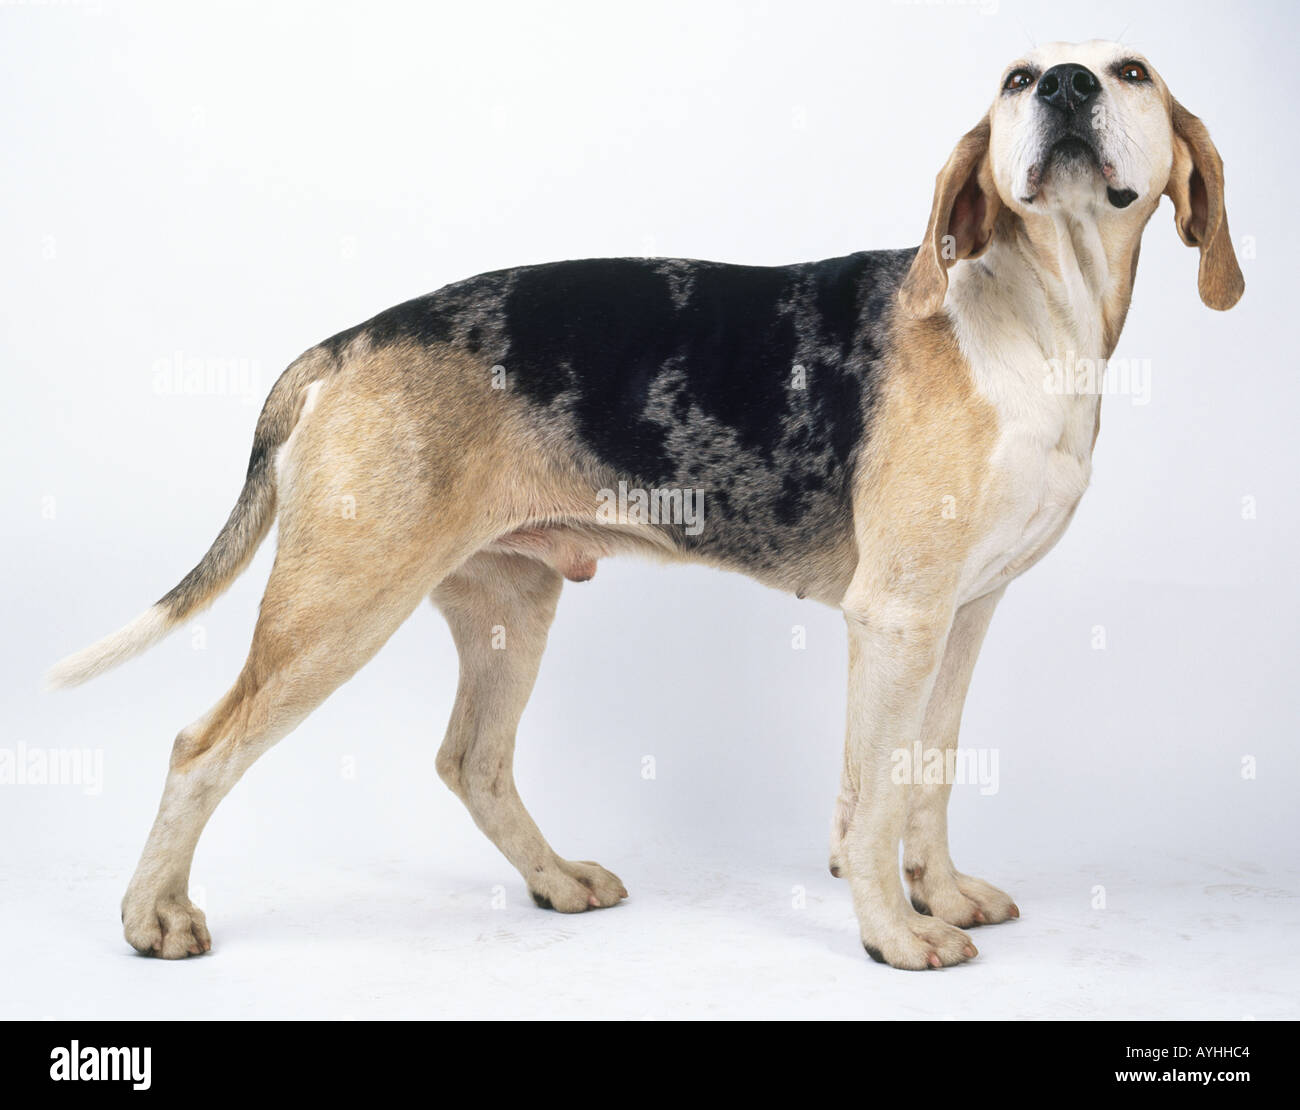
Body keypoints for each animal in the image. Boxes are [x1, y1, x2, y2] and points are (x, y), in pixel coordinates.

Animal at [50, 39, 1242, 967]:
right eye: (1016, 79)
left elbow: (927, 774)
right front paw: (893, 935)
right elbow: (873, 798)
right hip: (336, 609)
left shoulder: (961, 617)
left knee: (471, 761)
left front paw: (938, 894)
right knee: (199, 748)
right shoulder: (897, 619)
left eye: (1132, 71)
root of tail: (342, 345)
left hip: (509, 606)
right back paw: (153, 916)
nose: (1071, 86)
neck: (1037, 318)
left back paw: (556, 880)